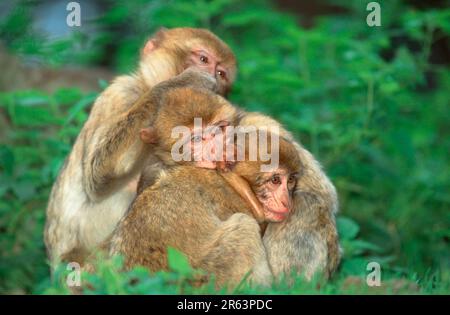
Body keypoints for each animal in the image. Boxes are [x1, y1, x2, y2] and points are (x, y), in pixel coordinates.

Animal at [44, 28, 237, 268]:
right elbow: (96, 176)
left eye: (221, 73)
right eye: (203, 59)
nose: (216, 80)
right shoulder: (121, 92)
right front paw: (183, 81)